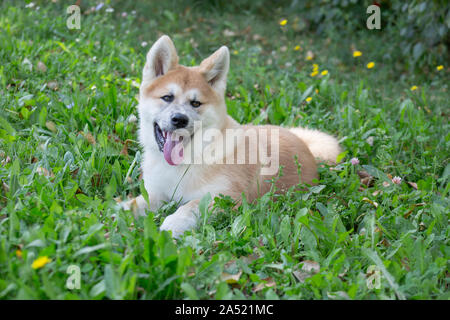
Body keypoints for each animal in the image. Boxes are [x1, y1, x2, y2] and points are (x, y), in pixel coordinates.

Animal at [121, 35, 340, 238]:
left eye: (195, 103)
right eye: (167, 97)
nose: (179, 120)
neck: (189, 160)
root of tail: (304, 142)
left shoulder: (225, 198)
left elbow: (190, 207)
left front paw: (174, 223)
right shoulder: (157, 194)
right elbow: (137, 203)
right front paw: (121, 210)